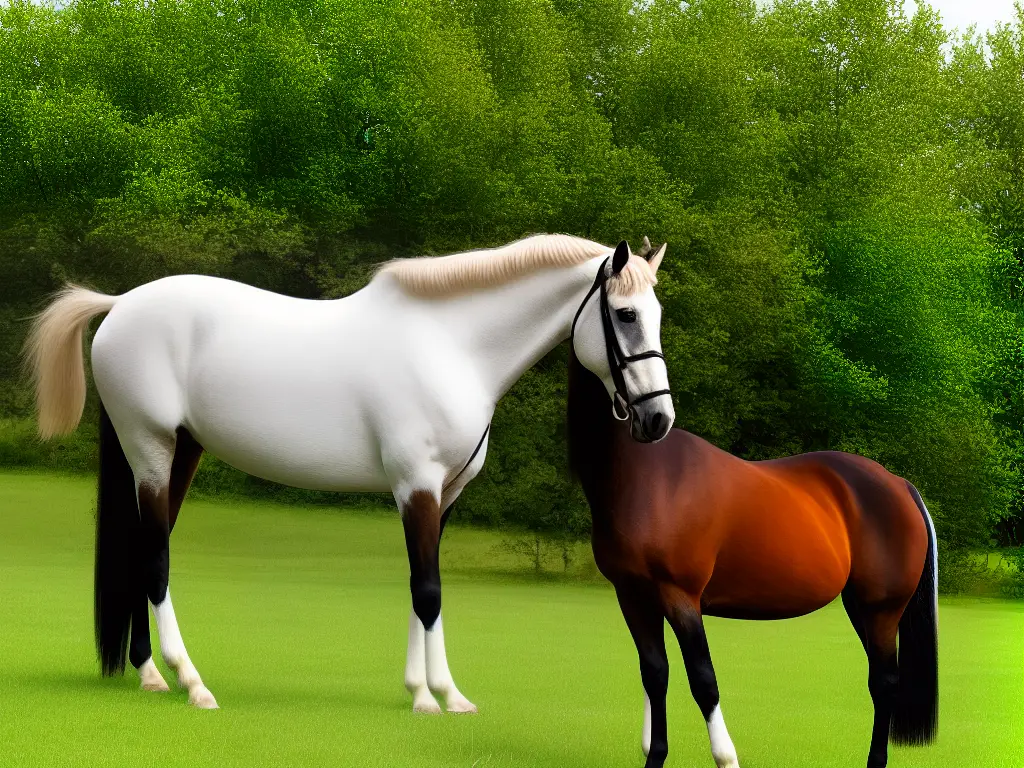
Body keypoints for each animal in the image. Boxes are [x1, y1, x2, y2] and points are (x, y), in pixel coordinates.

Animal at [24, 231, 675, 712]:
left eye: (657, 313)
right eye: (625, 315)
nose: (659, 420)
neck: (451, 349)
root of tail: (120, 305)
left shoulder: (443, 494)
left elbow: (420, 586)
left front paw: (429, 692)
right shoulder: (416, 486)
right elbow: (429, 590)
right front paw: (436, 698)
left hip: (179, 453)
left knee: (141, 552)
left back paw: (149, 674)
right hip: (152, 450)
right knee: (156, 560)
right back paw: (191, 683)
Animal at [565, 352, 937, 765]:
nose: (653, 416)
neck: (647, 478)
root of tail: (900, 485)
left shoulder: (680, 597)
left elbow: (703, 680)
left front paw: (724, 756)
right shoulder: (632, 597)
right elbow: (654, 673)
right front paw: (655, 754)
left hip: (882, 608)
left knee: (884, 683)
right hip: (861, 607)